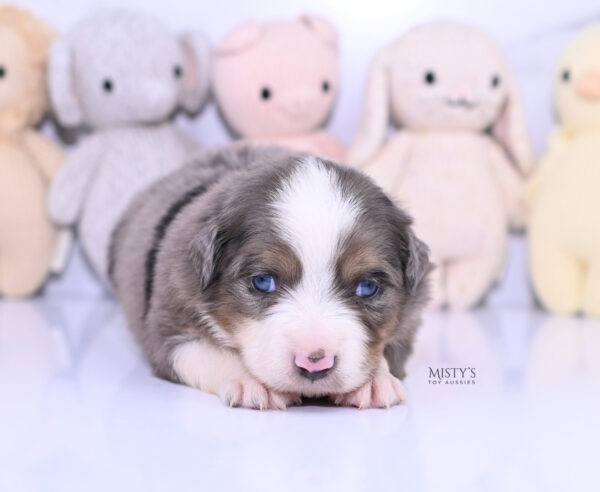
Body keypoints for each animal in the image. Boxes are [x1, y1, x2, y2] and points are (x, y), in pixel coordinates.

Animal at [110, 146, 428, 408]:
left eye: (367, 287)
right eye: (263, 282)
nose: (314, 363)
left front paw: (375, 381)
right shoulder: (168, 324)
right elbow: (204, 351)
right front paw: (251, 381)